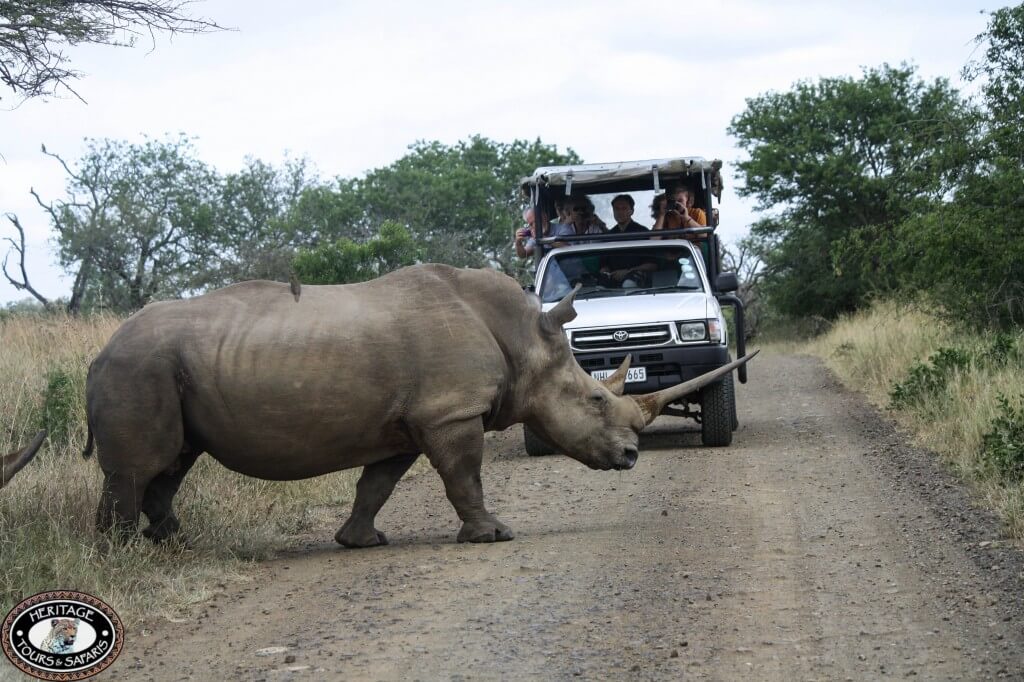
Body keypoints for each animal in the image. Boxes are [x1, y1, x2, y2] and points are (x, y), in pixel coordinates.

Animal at [83, 264, 756, 545]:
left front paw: (360, 542)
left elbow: (376, 484)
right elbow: (465, 476)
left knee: (173, 463)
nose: (631, 456)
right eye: (595, 397)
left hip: (159, 367)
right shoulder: (450, 411)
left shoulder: (409, 422)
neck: (523, 339)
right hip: (137, 367)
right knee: (143, 467)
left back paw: (172, 546)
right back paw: (126, 557)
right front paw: (492, 536)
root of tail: (100, 349)